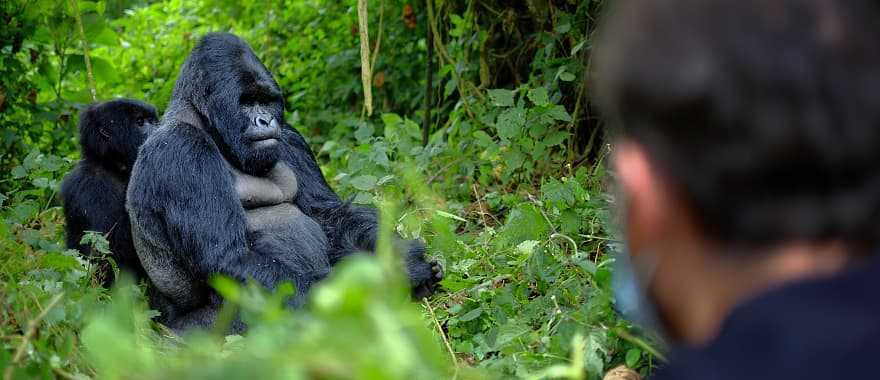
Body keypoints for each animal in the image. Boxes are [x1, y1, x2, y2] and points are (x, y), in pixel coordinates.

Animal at [61, 99, 159, 286]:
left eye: (153, 121)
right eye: (140, 122)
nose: (159, 128)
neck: (111, 165)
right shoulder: (93, 185)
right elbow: (109, 248)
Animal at [127, 32, 444, 332]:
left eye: (266, 101)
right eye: (247, 103)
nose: (265, 121)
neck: (206, 122)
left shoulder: (291, 137)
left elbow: (329, 214)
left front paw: (399, 255)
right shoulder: (180, 149)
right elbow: (229, 258)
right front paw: (393, 275)